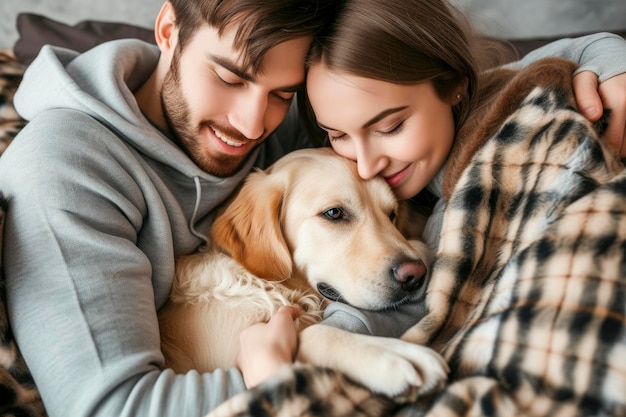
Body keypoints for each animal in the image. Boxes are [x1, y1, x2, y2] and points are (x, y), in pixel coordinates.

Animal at [158, 147, 446, 396]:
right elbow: (312, 334)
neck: (272, 286)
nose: (415, 275)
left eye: (391, 214)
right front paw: (391, 355)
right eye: (334, 213)